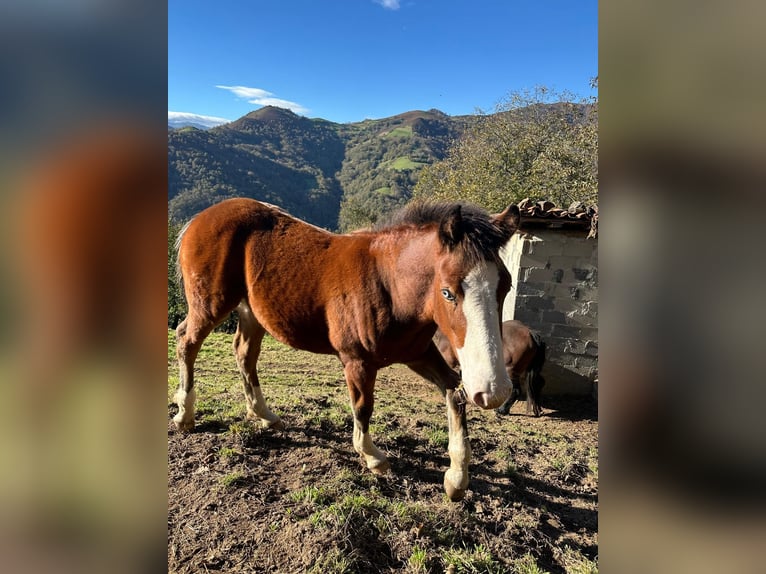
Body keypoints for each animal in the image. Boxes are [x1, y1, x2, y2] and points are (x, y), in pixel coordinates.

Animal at [174, 197, 520, 500]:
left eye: (506, 285)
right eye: (448, 292)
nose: (493, 391)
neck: (389, 285)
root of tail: (200, 218)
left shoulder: (418, 354)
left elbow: (454, 392)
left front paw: (456, 478)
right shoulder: (358, 361)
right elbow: (363, 407)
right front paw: (373, 457)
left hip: (251, 311)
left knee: (244, 353)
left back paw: (264, 415)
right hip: (210, 305)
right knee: (186, 342)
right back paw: (185, 415)